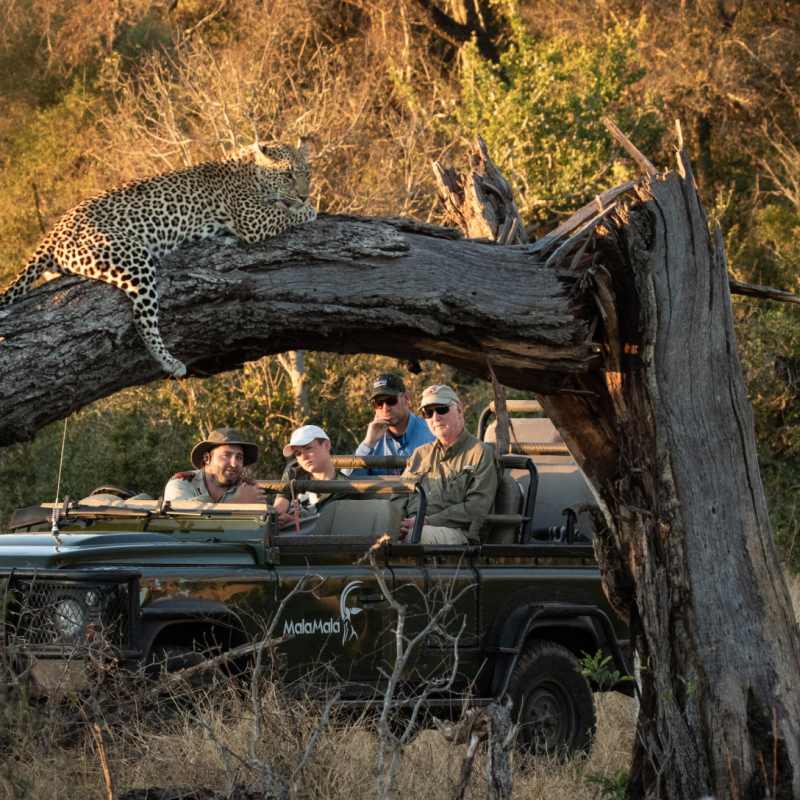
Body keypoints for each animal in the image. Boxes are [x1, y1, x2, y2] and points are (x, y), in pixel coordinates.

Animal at [0, 140, 317, 377]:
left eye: (307, 173)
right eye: (288, 175)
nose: (304, 194)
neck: (251, 171)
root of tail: (54, 231)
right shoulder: (254, 220)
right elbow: (285, 213)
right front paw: (310, 209)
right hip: (132, 257)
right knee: (143, 319)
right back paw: (170, 362)